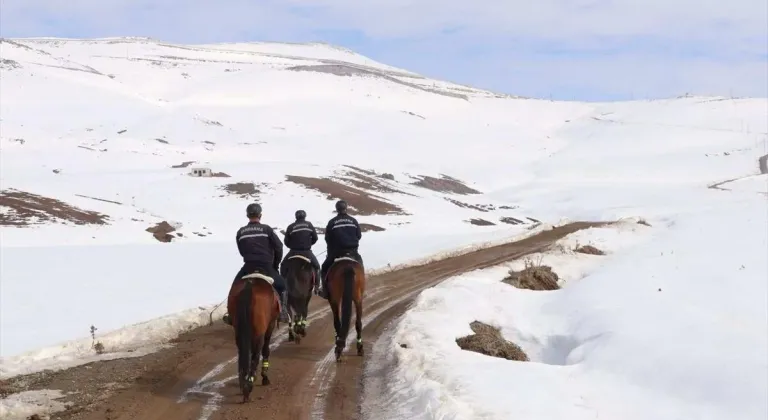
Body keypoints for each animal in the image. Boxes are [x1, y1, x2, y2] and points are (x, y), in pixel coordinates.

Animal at [228, 270, 282, 402]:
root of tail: (249, 285)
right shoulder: (270, 326)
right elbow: (266, 350)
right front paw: (264, 377)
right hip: (260, 332)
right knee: (256, 354)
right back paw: (249, 385)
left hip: (239, 331)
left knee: (243, 352)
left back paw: (244, 383)